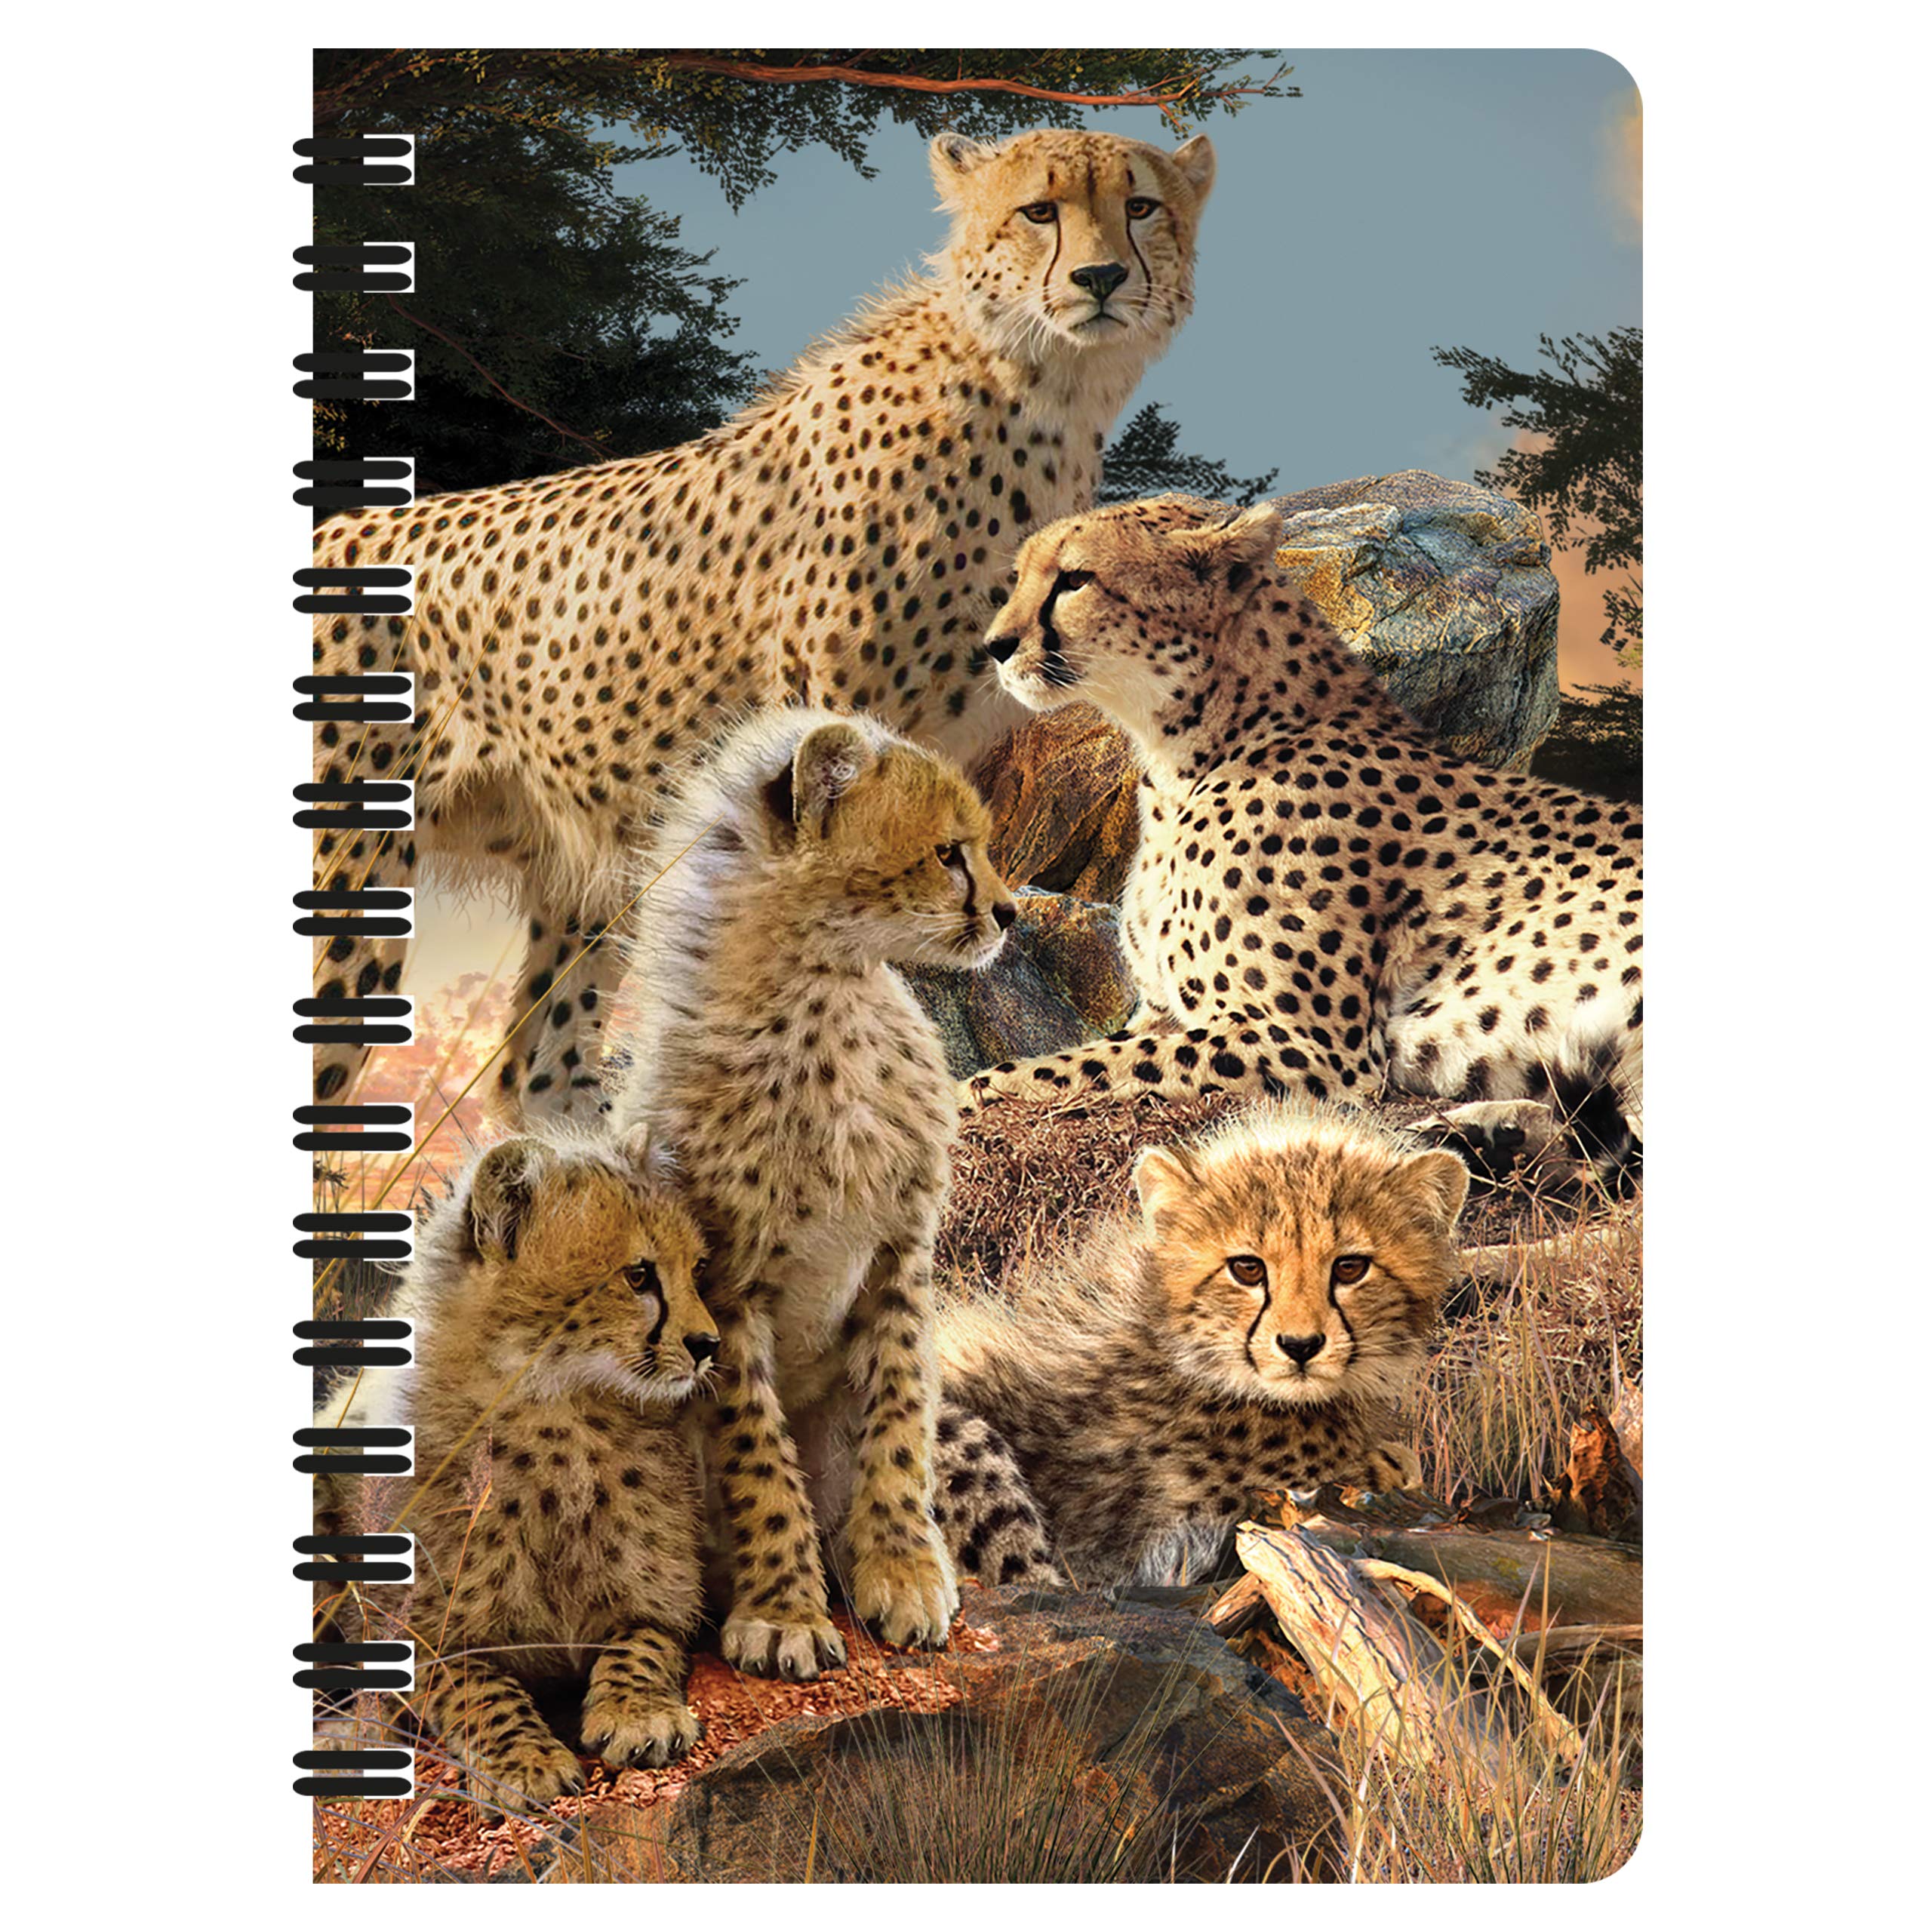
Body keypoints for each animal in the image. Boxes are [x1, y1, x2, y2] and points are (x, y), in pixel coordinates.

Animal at [312, 1125, 719, 1811]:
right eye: (638, 1275)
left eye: (695, 1272)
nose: (708, 1344)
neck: (559, 1414)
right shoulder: (418, 1635)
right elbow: (479, 1688)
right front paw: (527, 1759)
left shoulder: (660, 1601)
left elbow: (642, 1642)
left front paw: (639, 1713)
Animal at [607, 706, 1018, 1680]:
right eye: (948, 852)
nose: (1009, 912)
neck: (827, 994)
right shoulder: (721, 1290)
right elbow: (757, 1450)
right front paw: (784, 1611)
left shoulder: (901, 1255)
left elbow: (899, 1417)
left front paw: (905, 1573)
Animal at [964, 496, 1644, 1166]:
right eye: (1020, 577)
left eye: (1074, 579)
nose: (995, 645)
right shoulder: (1164, 1014)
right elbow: (1088, 1052)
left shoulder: (1313, 1045)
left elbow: (1044, 1070)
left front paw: (971, 1093)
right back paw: (1490, 1136)